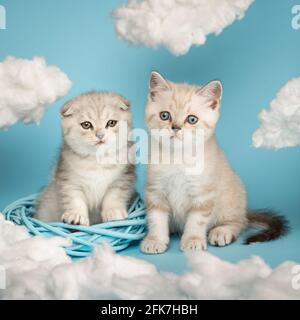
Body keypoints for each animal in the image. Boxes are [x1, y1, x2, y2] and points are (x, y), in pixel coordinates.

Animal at [35, 90, 134, 225]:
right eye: (86, 125)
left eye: (111, 123)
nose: (100, 135)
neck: (96, 161)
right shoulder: (68, 179)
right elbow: (75, 199)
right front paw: (76, 215)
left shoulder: (123, 178)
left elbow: (114, 196)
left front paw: (113, 212)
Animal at [141, 72, 288, 252]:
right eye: (164, 115)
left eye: (192, 119)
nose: (175, 127)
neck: (178, 158)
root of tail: (244, 211)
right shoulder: (155, 190)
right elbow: (156, 218)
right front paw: (155, 240)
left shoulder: (203, 193)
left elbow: (196, 221)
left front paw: (193, 240)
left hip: (230, 200)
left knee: (239, 223)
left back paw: (222, 232)